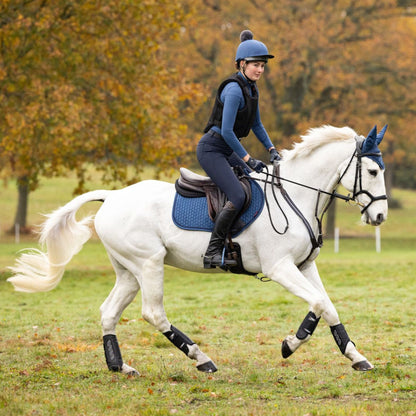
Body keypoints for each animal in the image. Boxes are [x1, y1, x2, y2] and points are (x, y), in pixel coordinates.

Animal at [8, 123, 388, 374]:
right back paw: (200, 358)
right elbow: (318, 304)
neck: (295, 194)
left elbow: (327, 305)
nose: (380, 215)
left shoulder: (305, 266)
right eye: (371, 170)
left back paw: (119, 366)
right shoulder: (279, 267)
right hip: (149, 262)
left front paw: (356, 357)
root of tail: (113, 196)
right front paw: (290, 345)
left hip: (129, 271)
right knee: (153, 313)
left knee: (108, 312)